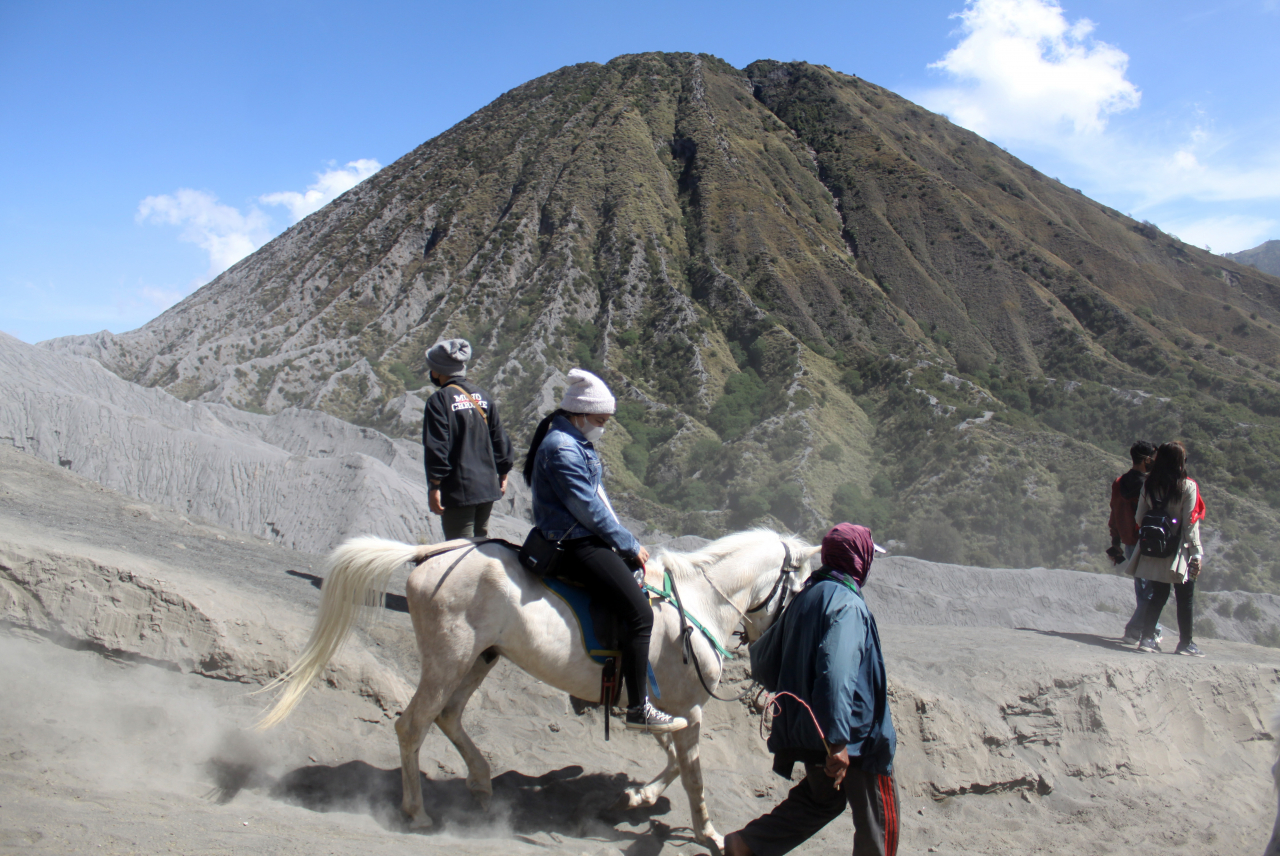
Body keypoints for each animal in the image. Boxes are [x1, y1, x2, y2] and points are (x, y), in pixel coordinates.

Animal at [259, 527, 819, 849]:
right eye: (801, 585)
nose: (774, 646)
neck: (697, 603)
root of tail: (431, 553)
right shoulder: (686, 708)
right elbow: (694, 774)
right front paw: (708, 833)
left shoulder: (665, 707)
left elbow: (674, 758)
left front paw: (638, 795)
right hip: (448, 659)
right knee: (413, 725)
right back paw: (417, 813)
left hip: (481, 659)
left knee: (448, 716)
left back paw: (481, 782)